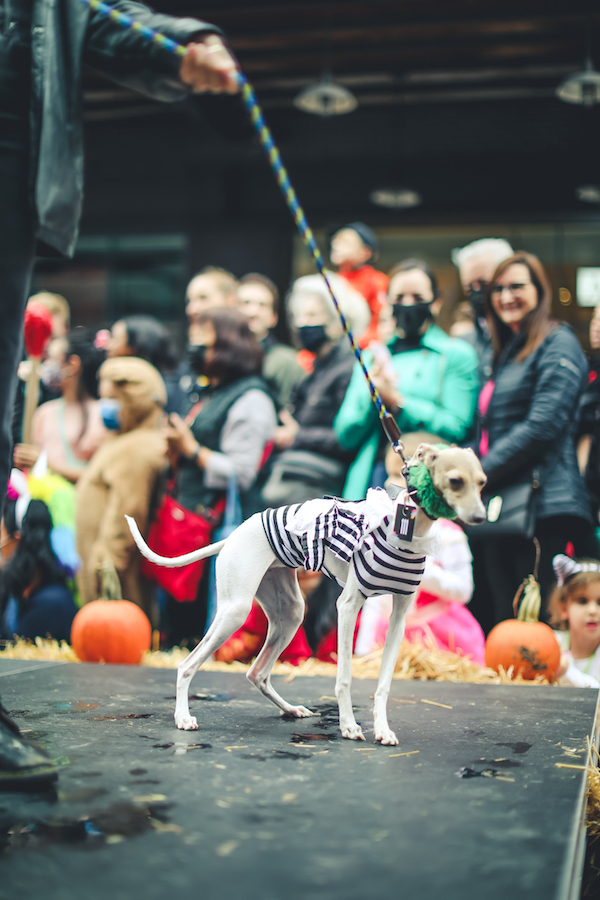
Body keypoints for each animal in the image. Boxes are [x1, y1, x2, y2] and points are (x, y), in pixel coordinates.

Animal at [126, 442, 488, 744]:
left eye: (482, 482)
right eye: (455, 481)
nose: (481, 517)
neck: (408, 529)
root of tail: (232, 536)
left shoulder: (399, 617)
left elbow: (384, 683)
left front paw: (383, 730)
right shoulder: (348, 606)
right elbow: (344, 677)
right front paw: (349, 726)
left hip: (290, 613)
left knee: (257, 672)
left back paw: (289, 709)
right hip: (234, 611)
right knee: (187, 665)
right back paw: (183, 717)